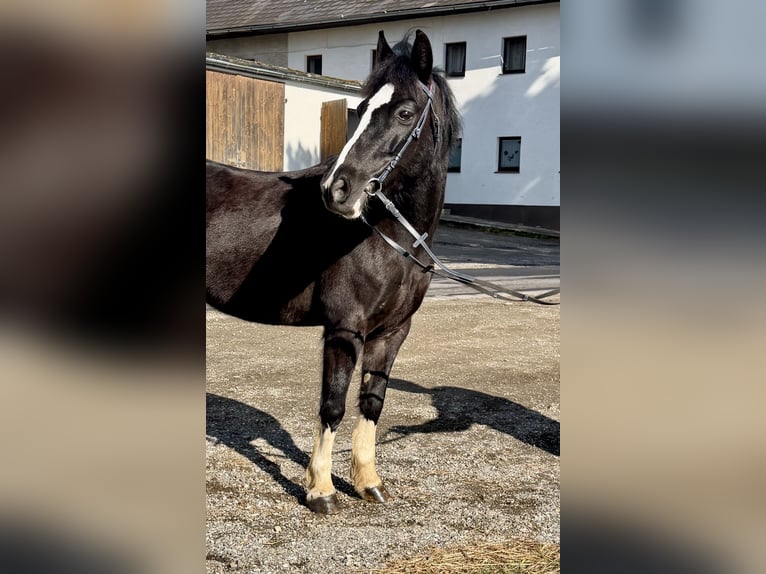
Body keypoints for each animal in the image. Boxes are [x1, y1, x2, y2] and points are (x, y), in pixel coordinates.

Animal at [206, 29, 461, 514]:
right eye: (359, 109)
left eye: (404, 112)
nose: (337, 191)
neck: (383, 235)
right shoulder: (345, 328)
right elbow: (333, 405)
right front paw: (320, 489)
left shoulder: (391, 332)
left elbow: (372, 402)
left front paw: (368, 483)